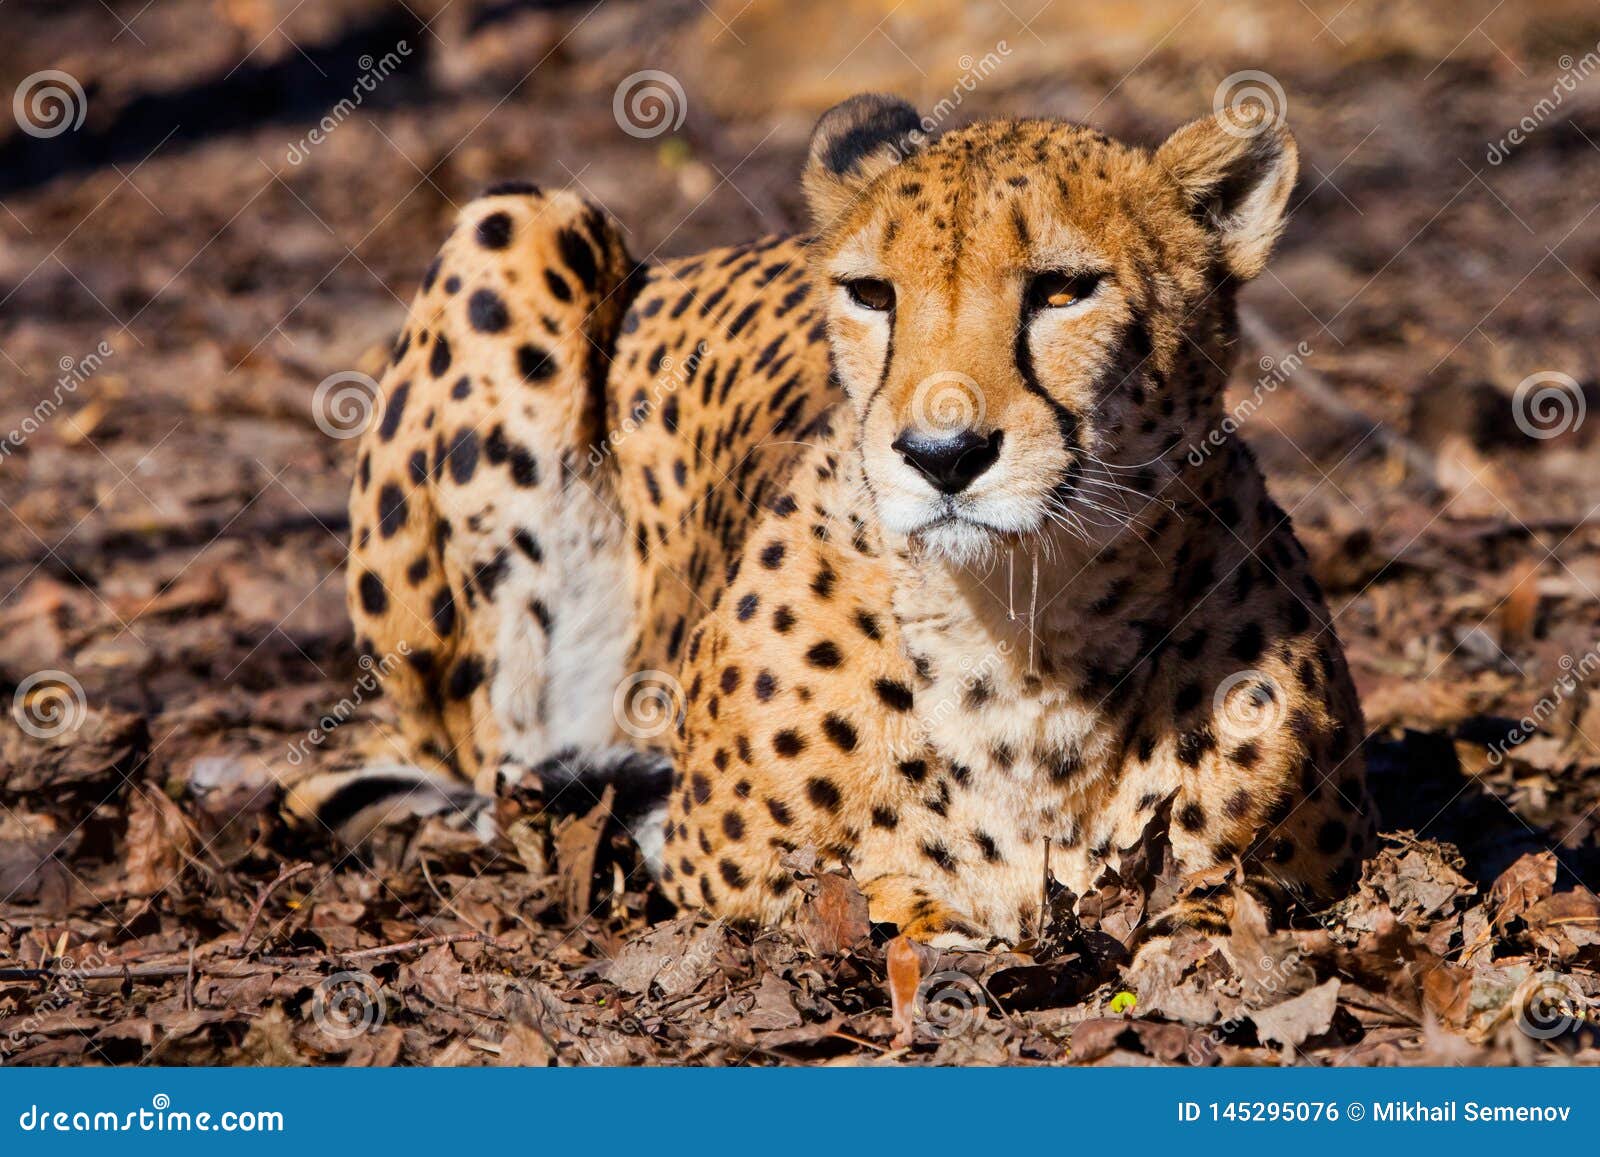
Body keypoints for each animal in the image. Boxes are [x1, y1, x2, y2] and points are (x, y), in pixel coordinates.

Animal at [321, 95, 1376, 947]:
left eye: (1063, 289)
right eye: (873, 294)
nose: (943, 453)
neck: (1025, 631)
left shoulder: (1316, 867)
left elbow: (1218, 892)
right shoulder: (718, 863)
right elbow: (867, 890)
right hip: (520, 224)